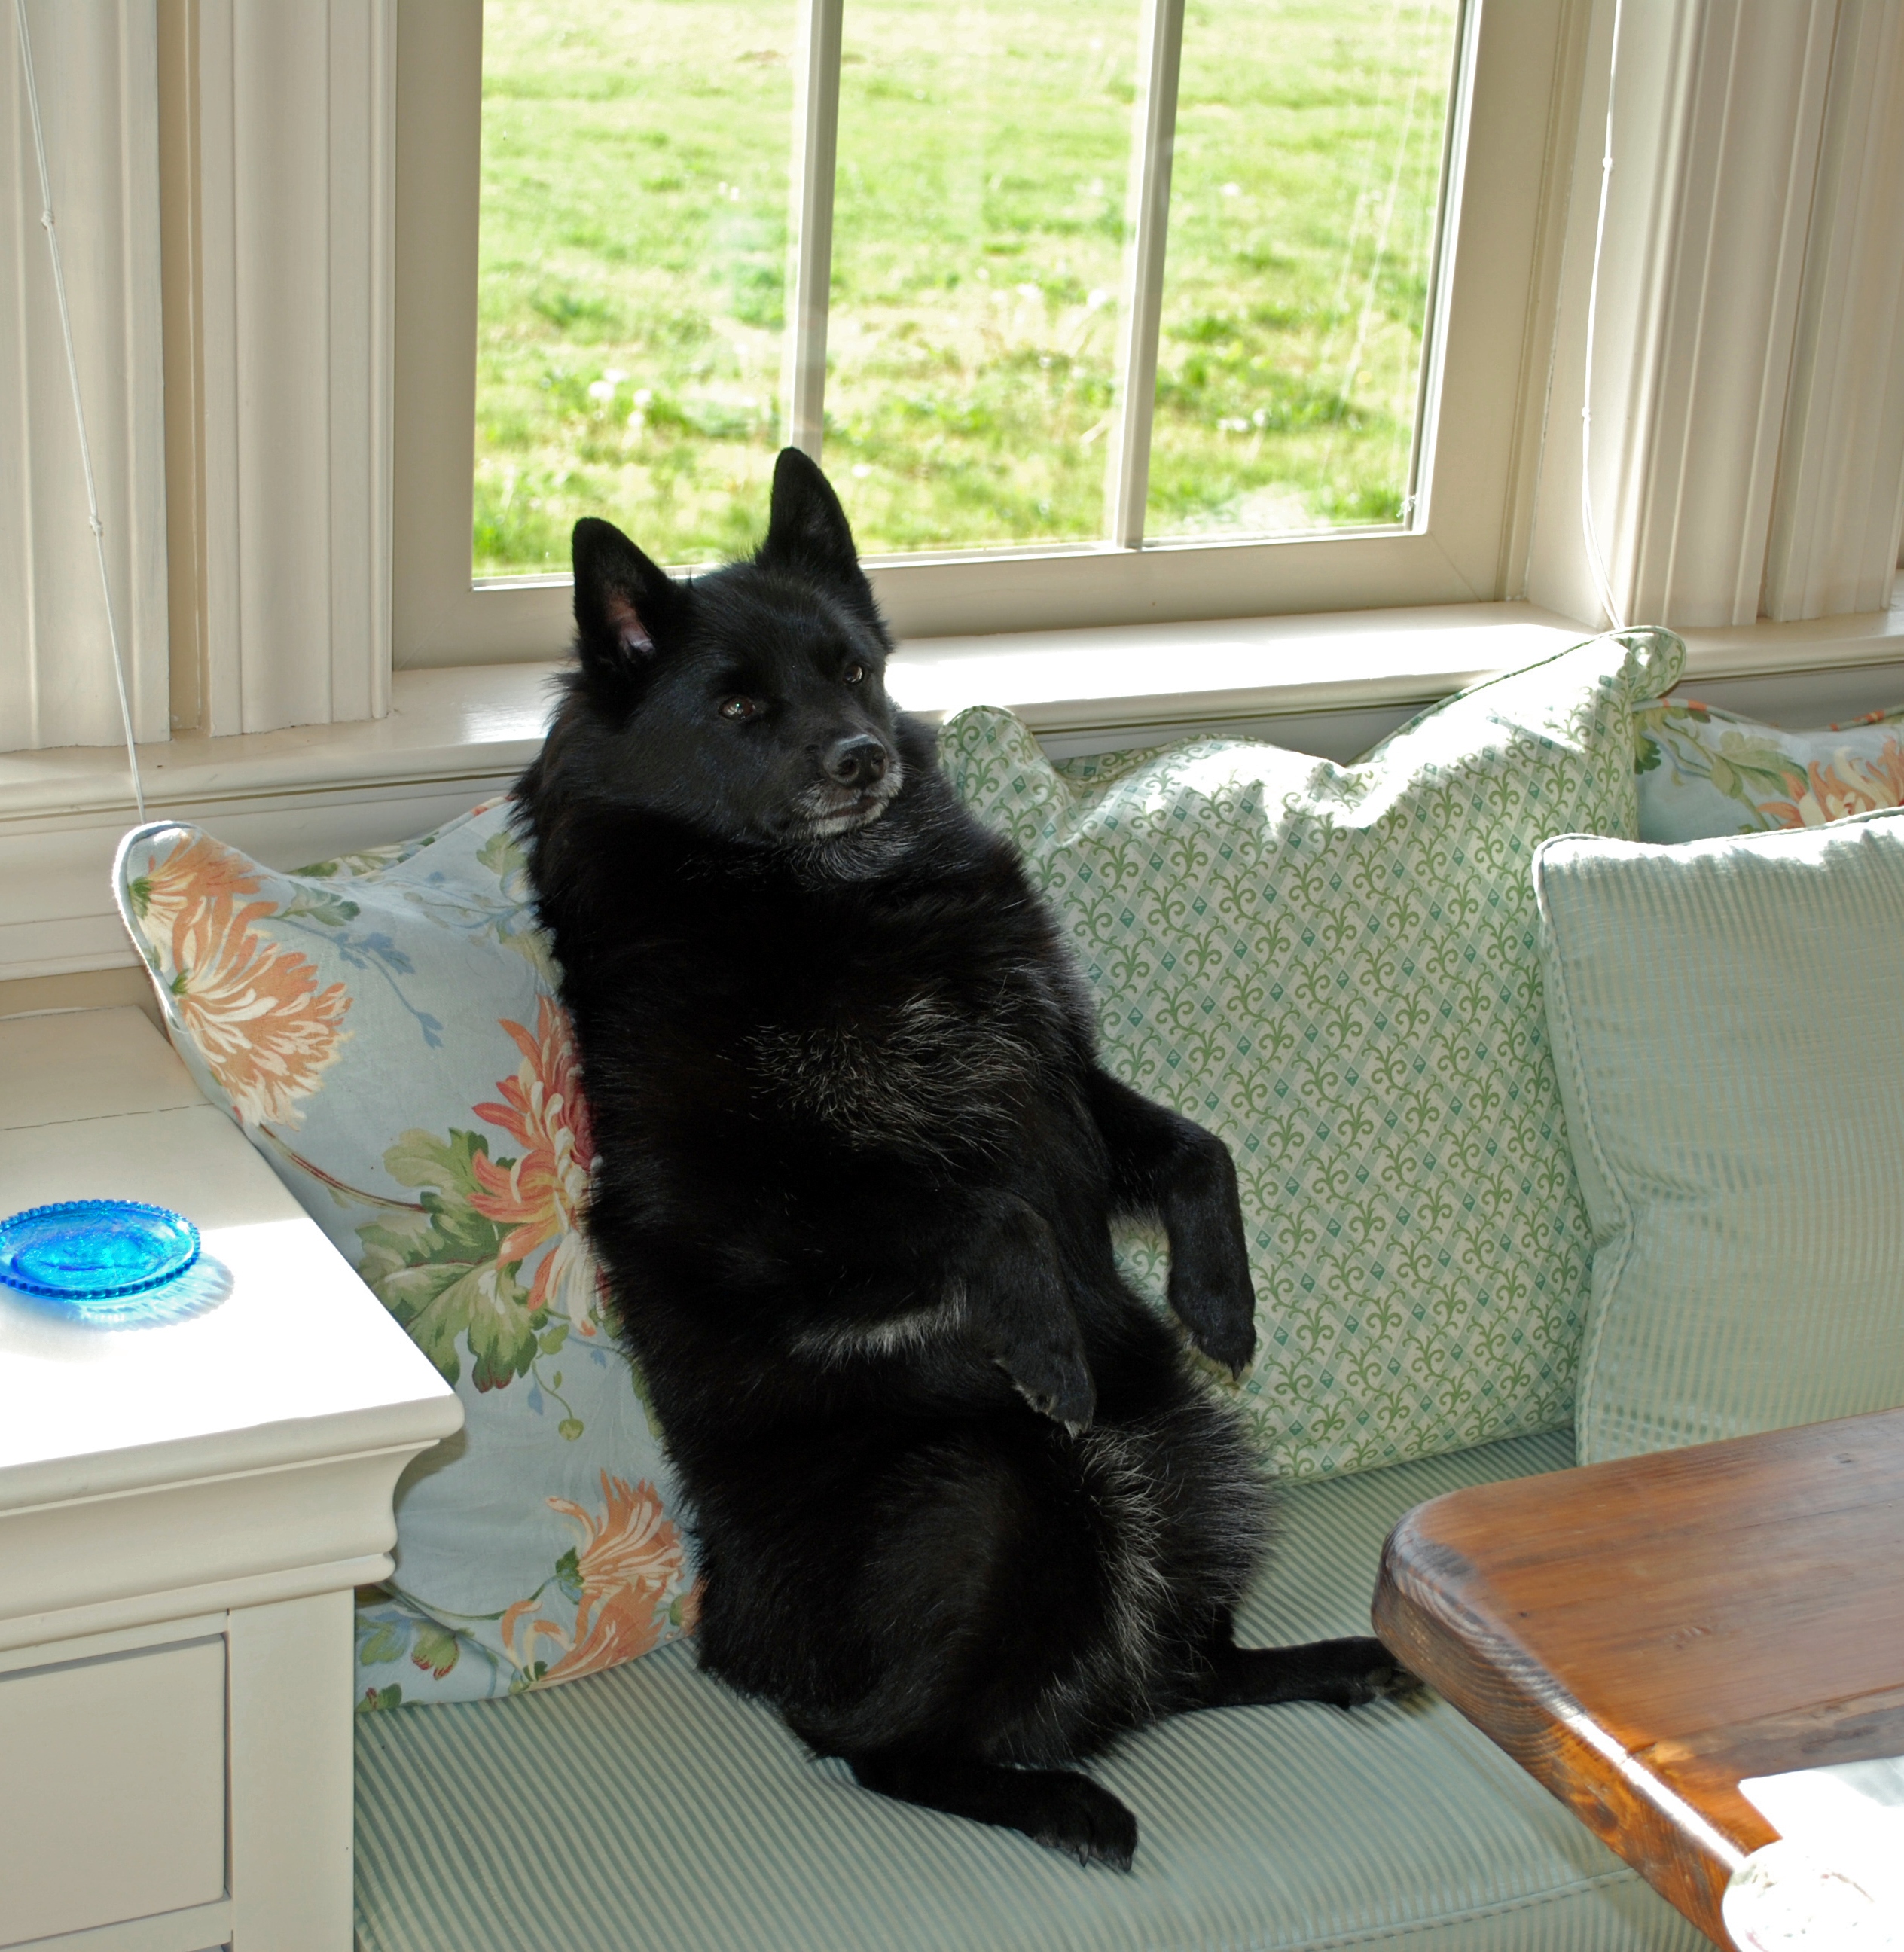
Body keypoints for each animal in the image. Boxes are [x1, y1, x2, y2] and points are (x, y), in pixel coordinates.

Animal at [515, 449, 1405, 1865]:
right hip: (991, 1493)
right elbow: (989, 1214)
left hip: (1193, 1457)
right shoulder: (753, 1206)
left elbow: (1197, 1150)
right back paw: (1058, 1798)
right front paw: (1046, 1341)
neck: (824, 897)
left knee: (1181, 1668)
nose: (864, 754)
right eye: (738, 703)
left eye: (855, 669)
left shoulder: (1062, 1085)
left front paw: (1219, 1297)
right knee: (876, 1747)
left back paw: (1324, 1663)